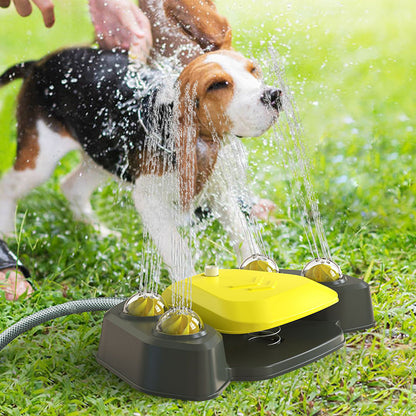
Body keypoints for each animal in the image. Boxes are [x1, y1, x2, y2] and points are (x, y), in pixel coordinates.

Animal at [0, 41, 282, 276]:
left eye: (253, 70)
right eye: (217, 85)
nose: (274, 95)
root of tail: (38, 64)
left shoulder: (220, 193)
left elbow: (243, 234)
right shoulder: (150, 201)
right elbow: (178, 250)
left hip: (103, 154)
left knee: (71, 186)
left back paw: (97, 230)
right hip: (40, 158)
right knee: (9, 185)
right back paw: (9, 234)